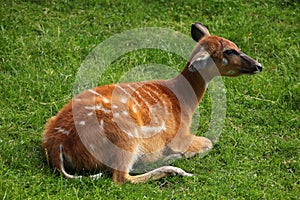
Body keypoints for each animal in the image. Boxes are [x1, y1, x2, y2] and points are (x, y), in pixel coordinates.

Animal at [42, 22, 262, 184]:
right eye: (229, 52)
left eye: (235, 46)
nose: (258, 65)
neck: (185, 101)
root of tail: (57, 144)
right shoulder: (180, 136)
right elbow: (208, 142)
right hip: (126, 135)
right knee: (121, 178)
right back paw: (174, 168)